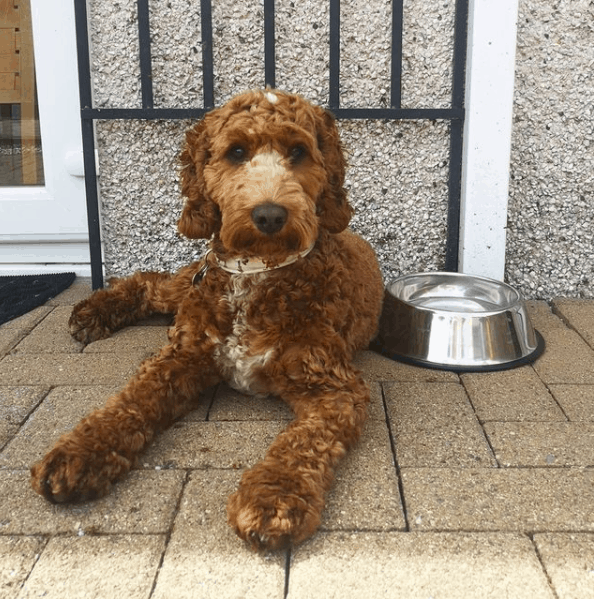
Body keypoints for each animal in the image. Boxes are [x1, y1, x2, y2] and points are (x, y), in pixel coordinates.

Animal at [30, 89, 382, 552]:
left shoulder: (334, 386)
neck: (255, 272)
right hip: (189, 285)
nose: (269, 215)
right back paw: (94, 311)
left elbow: (304, 443)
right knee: (151, 283)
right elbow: (130, 402)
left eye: (298, 152)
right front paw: (79, 452)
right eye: (236, 152)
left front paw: (274, 497)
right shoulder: (181, 356)